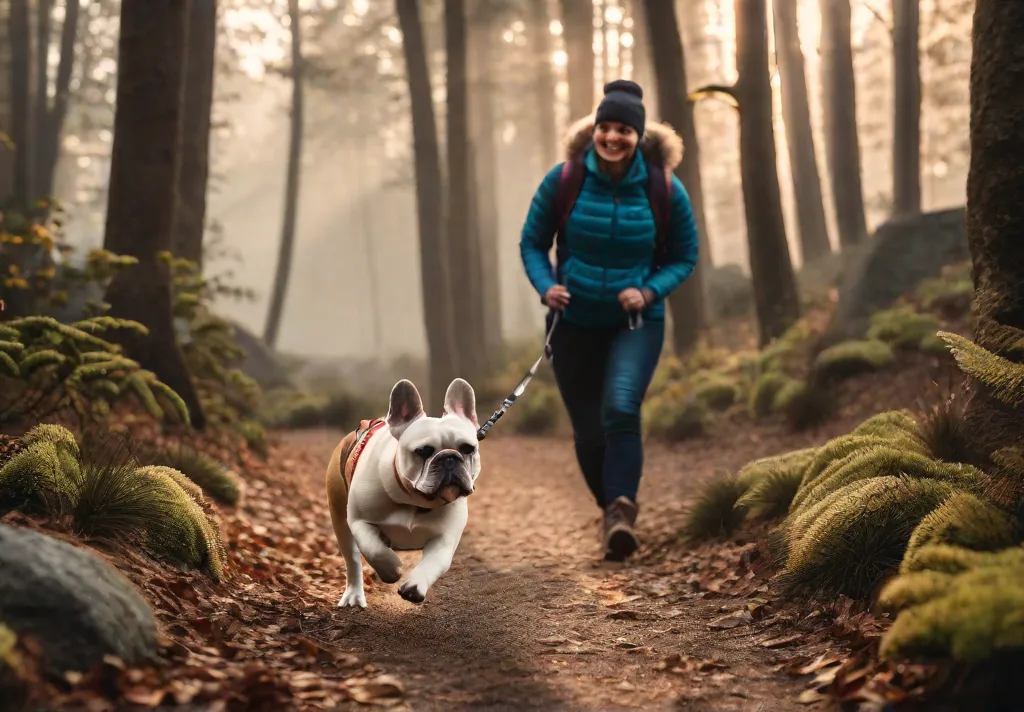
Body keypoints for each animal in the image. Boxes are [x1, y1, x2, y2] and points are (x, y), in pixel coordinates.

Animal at [325, 379, 481, 606]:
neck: (415, 501)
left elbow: (433, 563)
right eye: (423, 451)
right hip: (340, 519)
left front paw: (414, 587)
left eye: (468, 449)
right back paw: (354, 595)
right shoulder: (359, 521)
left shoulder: (445, 539)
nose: (450, 457)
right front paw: (392, 569)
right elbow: (374, 549)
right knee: (352, 559)